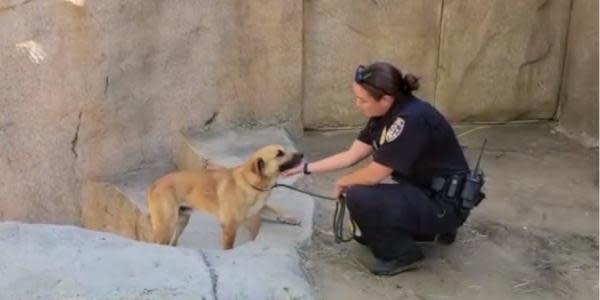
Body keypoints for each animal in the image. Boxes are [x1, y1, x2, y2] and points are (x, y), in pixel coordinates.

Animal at [148, 144, 302, 250]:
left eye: (283, 150)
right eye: (279, 154)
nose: (301, 154)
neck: (250, 182)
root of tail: (154, 184)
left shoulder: (261, 206)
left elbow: (277, 211)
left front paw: (291, 218)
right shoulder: (229, 227)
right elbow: (228, 247)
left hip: (181, 221)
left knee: (172, 242)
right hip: (166, 225)